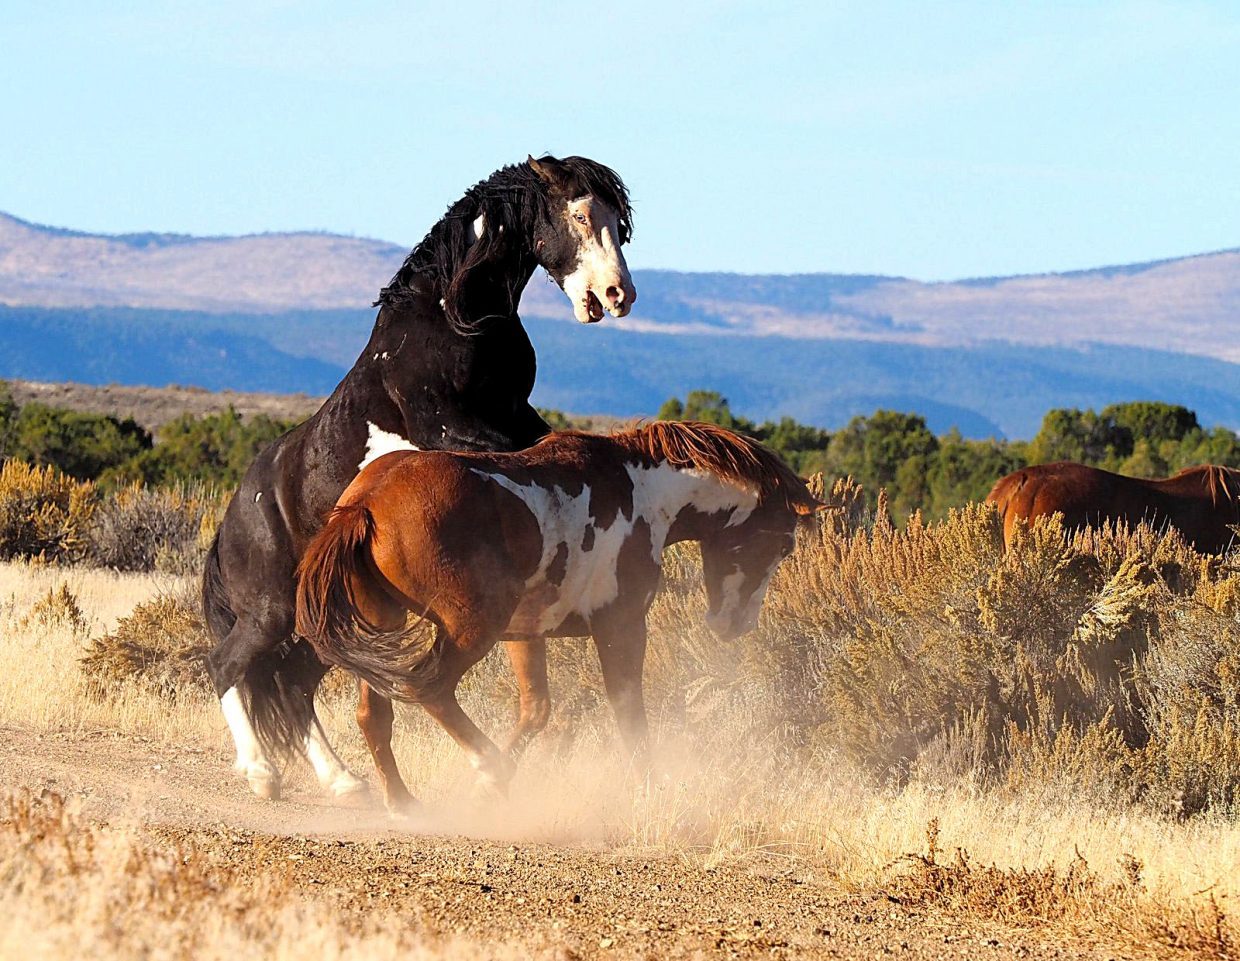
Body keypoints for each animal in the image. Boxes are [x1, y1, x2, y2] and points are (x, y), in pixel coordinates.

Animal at [202, 155, 637, 802]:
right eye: (580, 215)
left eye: (619, 222)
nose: (616, 294)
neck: (455, 320)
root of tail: (233, 519)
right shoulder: (455, 430)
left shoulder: (516, 418)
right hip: (269, 611)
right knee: (226, 666)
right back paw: (262, 774)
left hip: (323, 617)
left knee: (295, 685)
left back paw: (345, 782)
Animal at [293, 421, 823, 812]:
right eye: (783, 545)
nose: (736, 625)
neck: (646, 491)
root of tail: (364, 504)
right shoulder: (621, 627)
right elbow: (630, 713)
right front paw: (650, 789)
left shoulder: (525, 634)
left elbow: (537, 710)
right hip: (470, 628)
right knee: (429, 688)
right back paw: (489, 770)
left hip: (386, 623)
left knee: (375, 713)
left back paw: (405, 803)